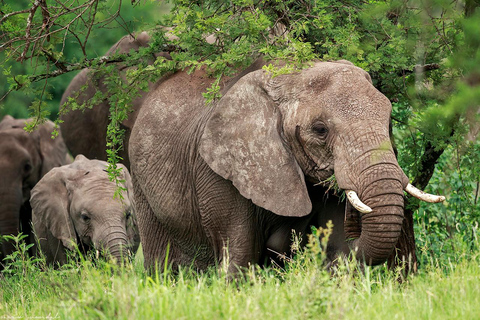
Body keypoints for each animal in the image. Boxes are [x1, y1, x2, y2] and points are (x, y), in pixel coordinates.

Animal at [128, 58, 442, 272]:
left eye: (388, 122)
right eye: (320, 130)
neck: (289, 76)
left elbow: (336, 248)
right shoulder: (218, 170)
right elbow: (239, 252)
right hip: (141, 184)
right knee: (162, 260)